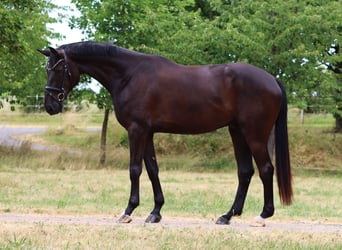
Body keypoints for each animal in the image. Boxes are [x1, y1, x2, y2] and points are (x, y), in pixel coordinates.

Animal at [39, 42, 292, 226]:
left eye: (59, 69)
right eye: (47, 69)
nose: (50, 105)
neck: (129, 75)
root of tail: (272, 79)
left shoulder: (137, 130)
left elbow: (134, 170)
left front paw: (128, 211)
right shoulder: (147, 132)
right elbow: (152, 170)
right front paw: (156, 212)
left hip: (254, 134)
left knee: (266, 169)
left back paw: (263, 215)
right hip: (237, 131)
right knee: (245, 172)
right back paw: (227, 215)